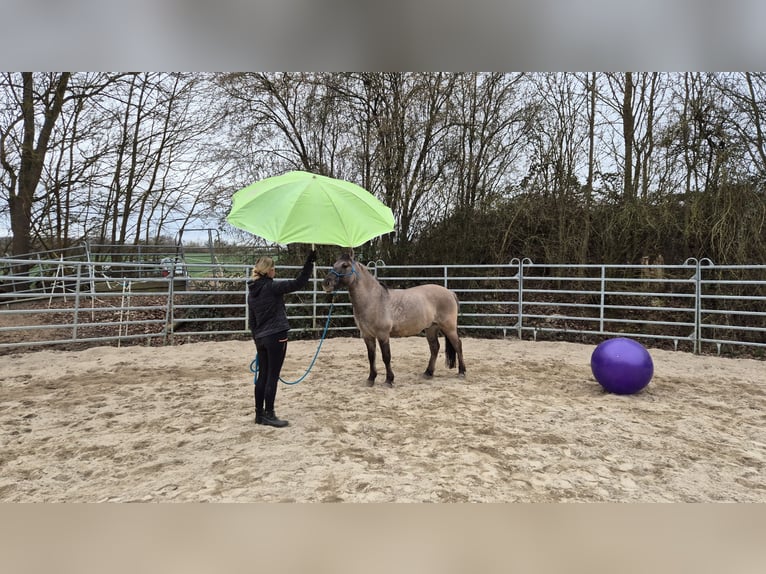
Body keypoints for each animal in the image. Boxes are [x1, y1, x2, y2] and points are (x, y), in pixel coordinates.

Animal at [320, 254, 464, 390]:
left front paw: (389, 380)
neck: (374, 300)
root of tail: (450, 293)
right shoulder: (367, 336)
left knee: (457, 345)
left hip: (449, 327)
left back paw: (462, 372)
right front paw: (371, 379)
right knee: (434, 348)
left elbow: (386, 357)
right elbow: (371, 357)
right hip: (431, 328)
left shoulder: (383, 335)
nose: (326, 283)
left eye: (345, 265)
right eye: (334, 264)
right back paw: (428, 373)